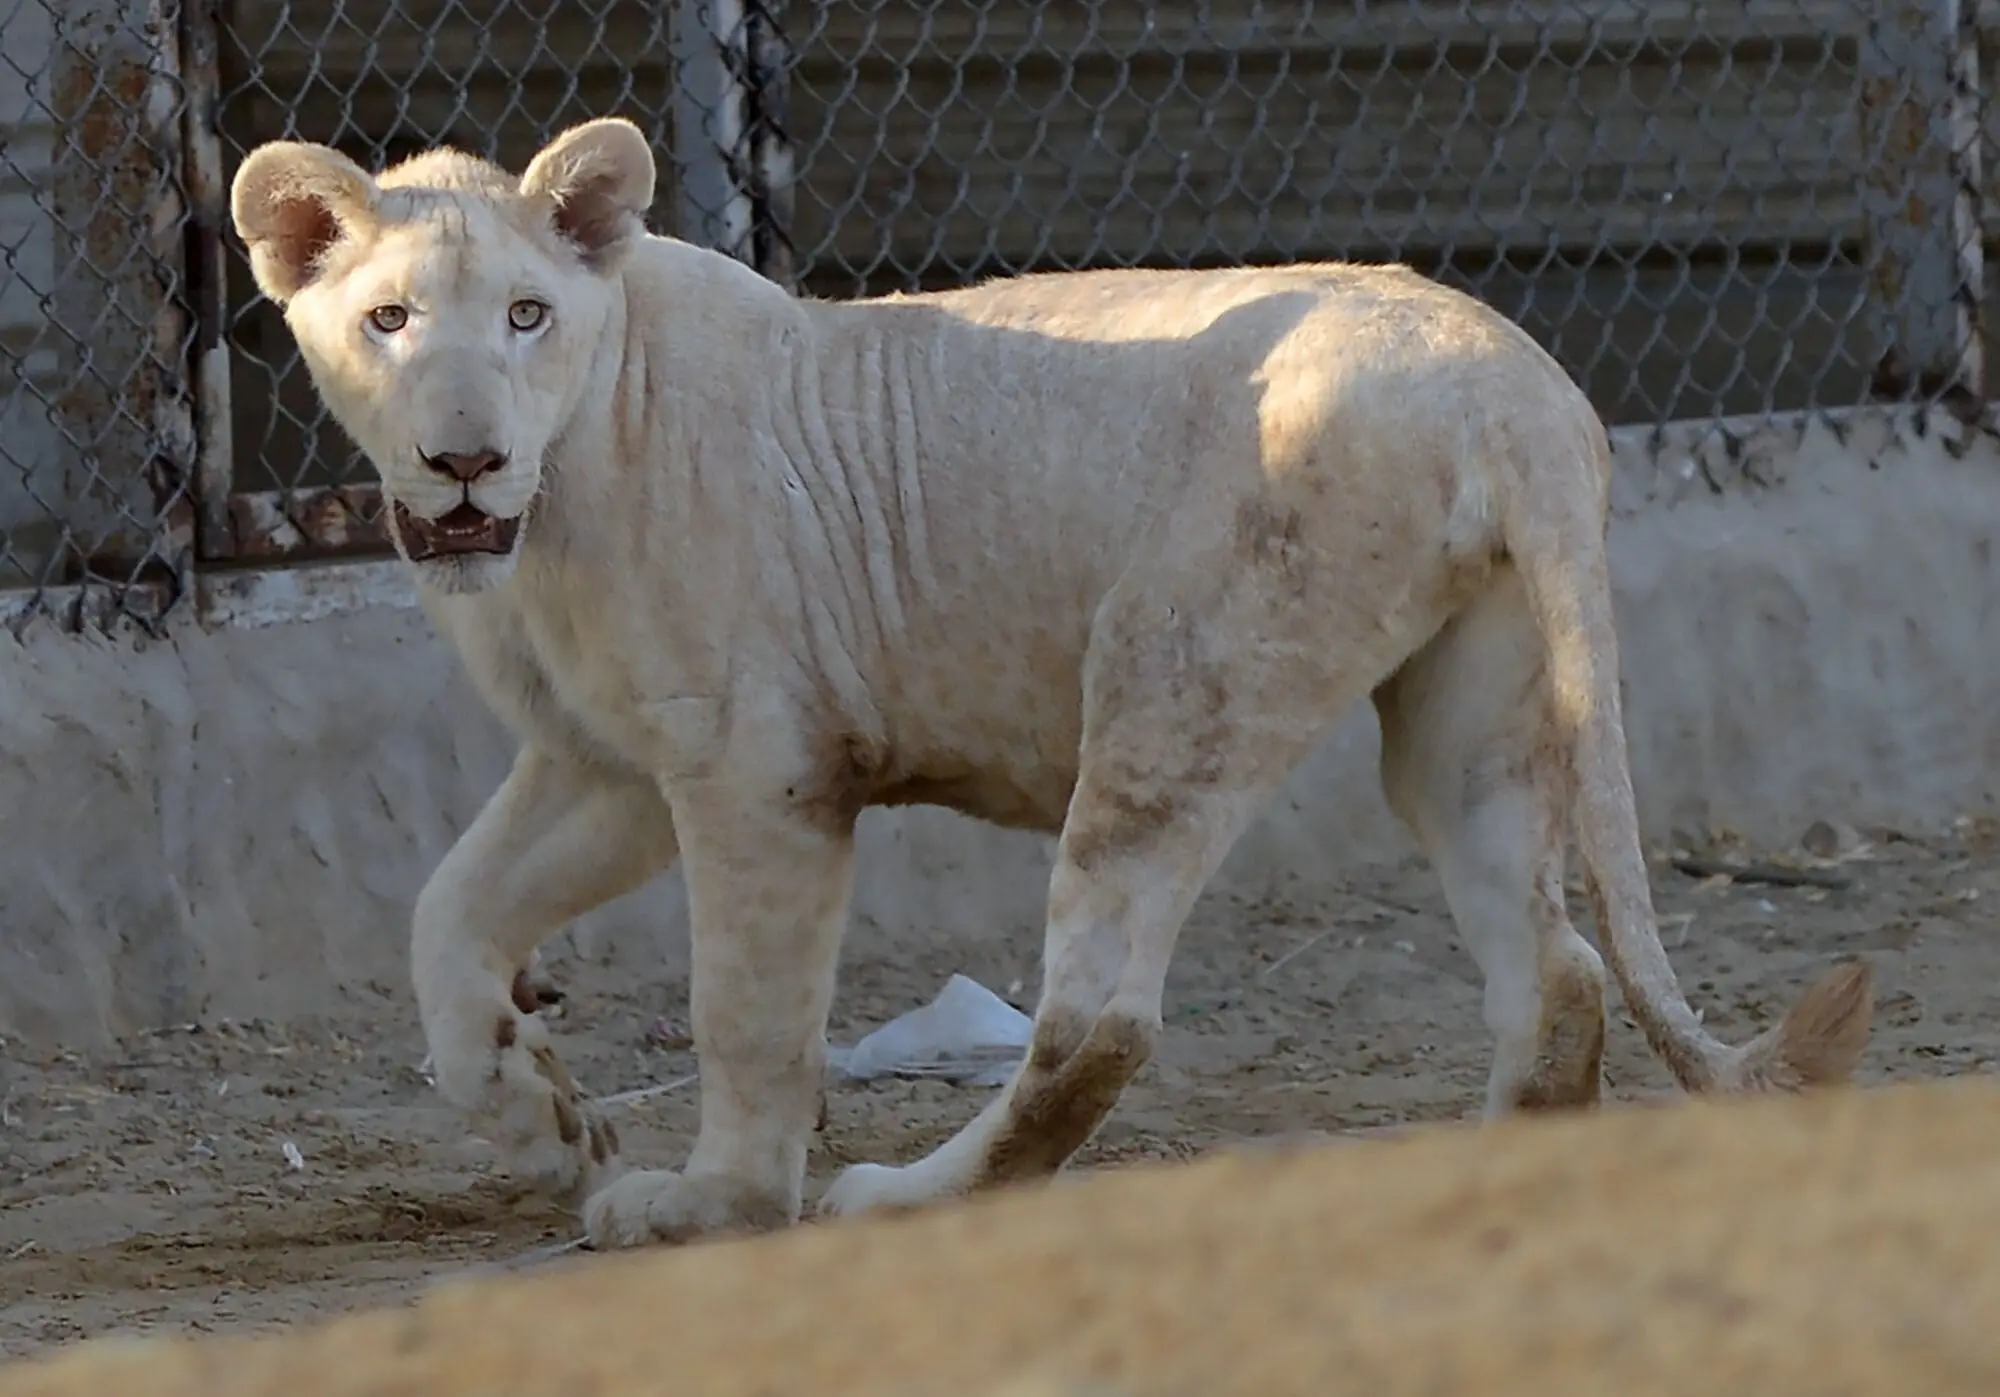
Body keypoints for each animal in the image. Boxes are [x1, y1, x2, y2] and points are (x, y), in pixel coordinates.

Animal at [227, 117, 1874, 1249]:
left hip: (1174, 671)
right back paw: (1487, 1172)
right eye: (386, 321)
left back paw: (902, 1193)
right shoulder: (611, 762)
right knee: (1561, 966)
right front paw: (534, 1112)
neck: (557, 497)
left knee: (1100, 1016)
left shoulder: (758, 765)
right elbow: (447, 917)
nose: (462, 458)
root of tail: (1507, 377)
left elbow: (743, 1011)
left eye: (525, 316)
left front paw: (710, 1200)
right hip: (1468, 709)